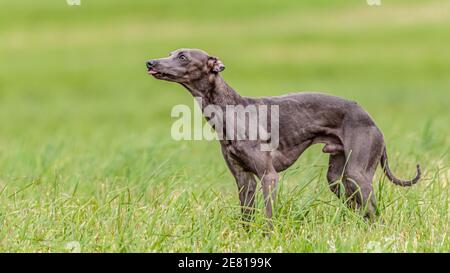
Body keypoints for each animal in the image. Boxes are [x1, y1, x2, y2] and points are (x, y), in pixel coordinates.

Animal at [145, 48, 422, 223]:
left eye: (182, 56)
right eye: (170, 53)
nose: (150, 62)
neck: (231, 110)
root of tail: (372, 121)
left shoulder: (269, 177)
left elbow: (268, 215)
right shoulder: (244, 179)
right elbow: (246, 217)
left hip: (357, 172)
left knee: (372, 210)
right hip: (337, 177)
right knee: (360, 208)